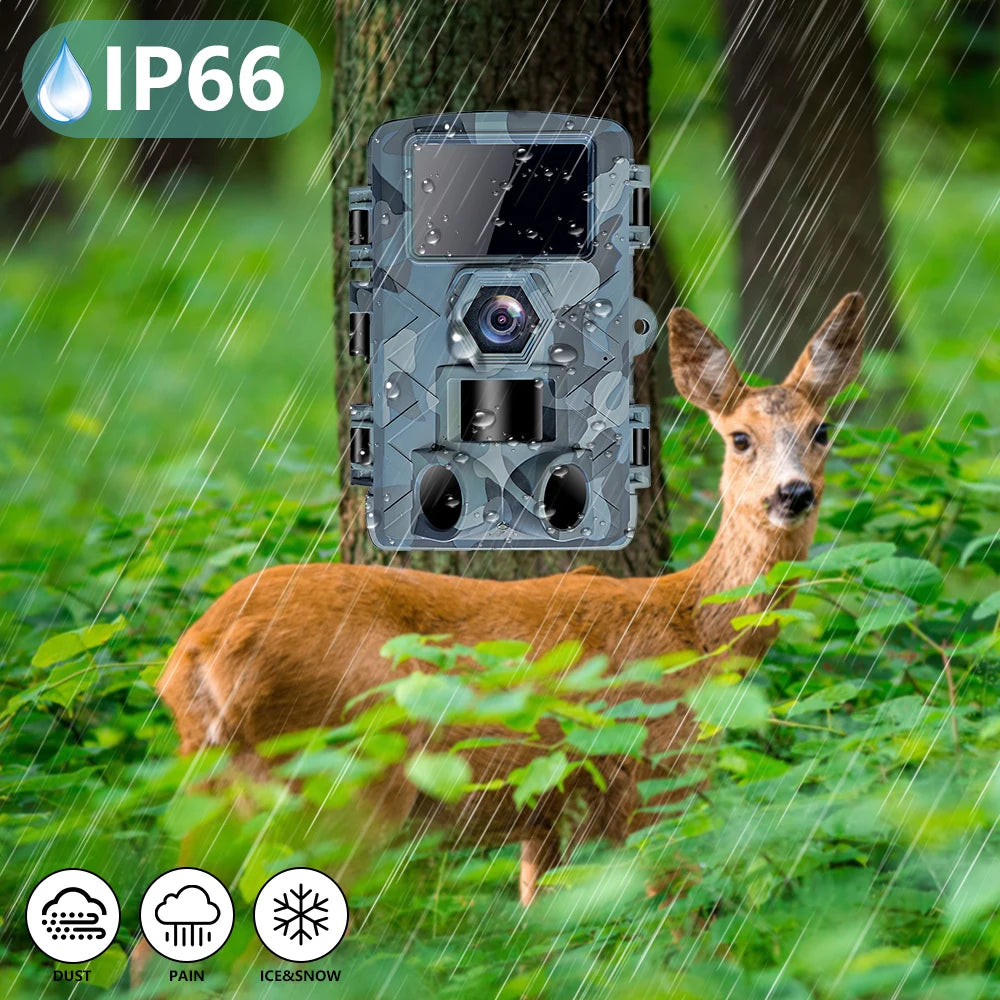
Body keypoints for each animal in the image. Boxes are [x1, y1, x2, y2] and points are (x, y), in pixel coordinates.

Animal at [142, 292, 863, 970]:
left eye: (822, 429)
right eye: (740, 437)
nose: (793, 494)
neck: (694, 629)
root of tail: (198, 653)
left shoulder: (550, 816)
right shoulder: (661, 777)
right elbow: (689, 931)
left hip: (216, 785)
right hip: (340, 784)